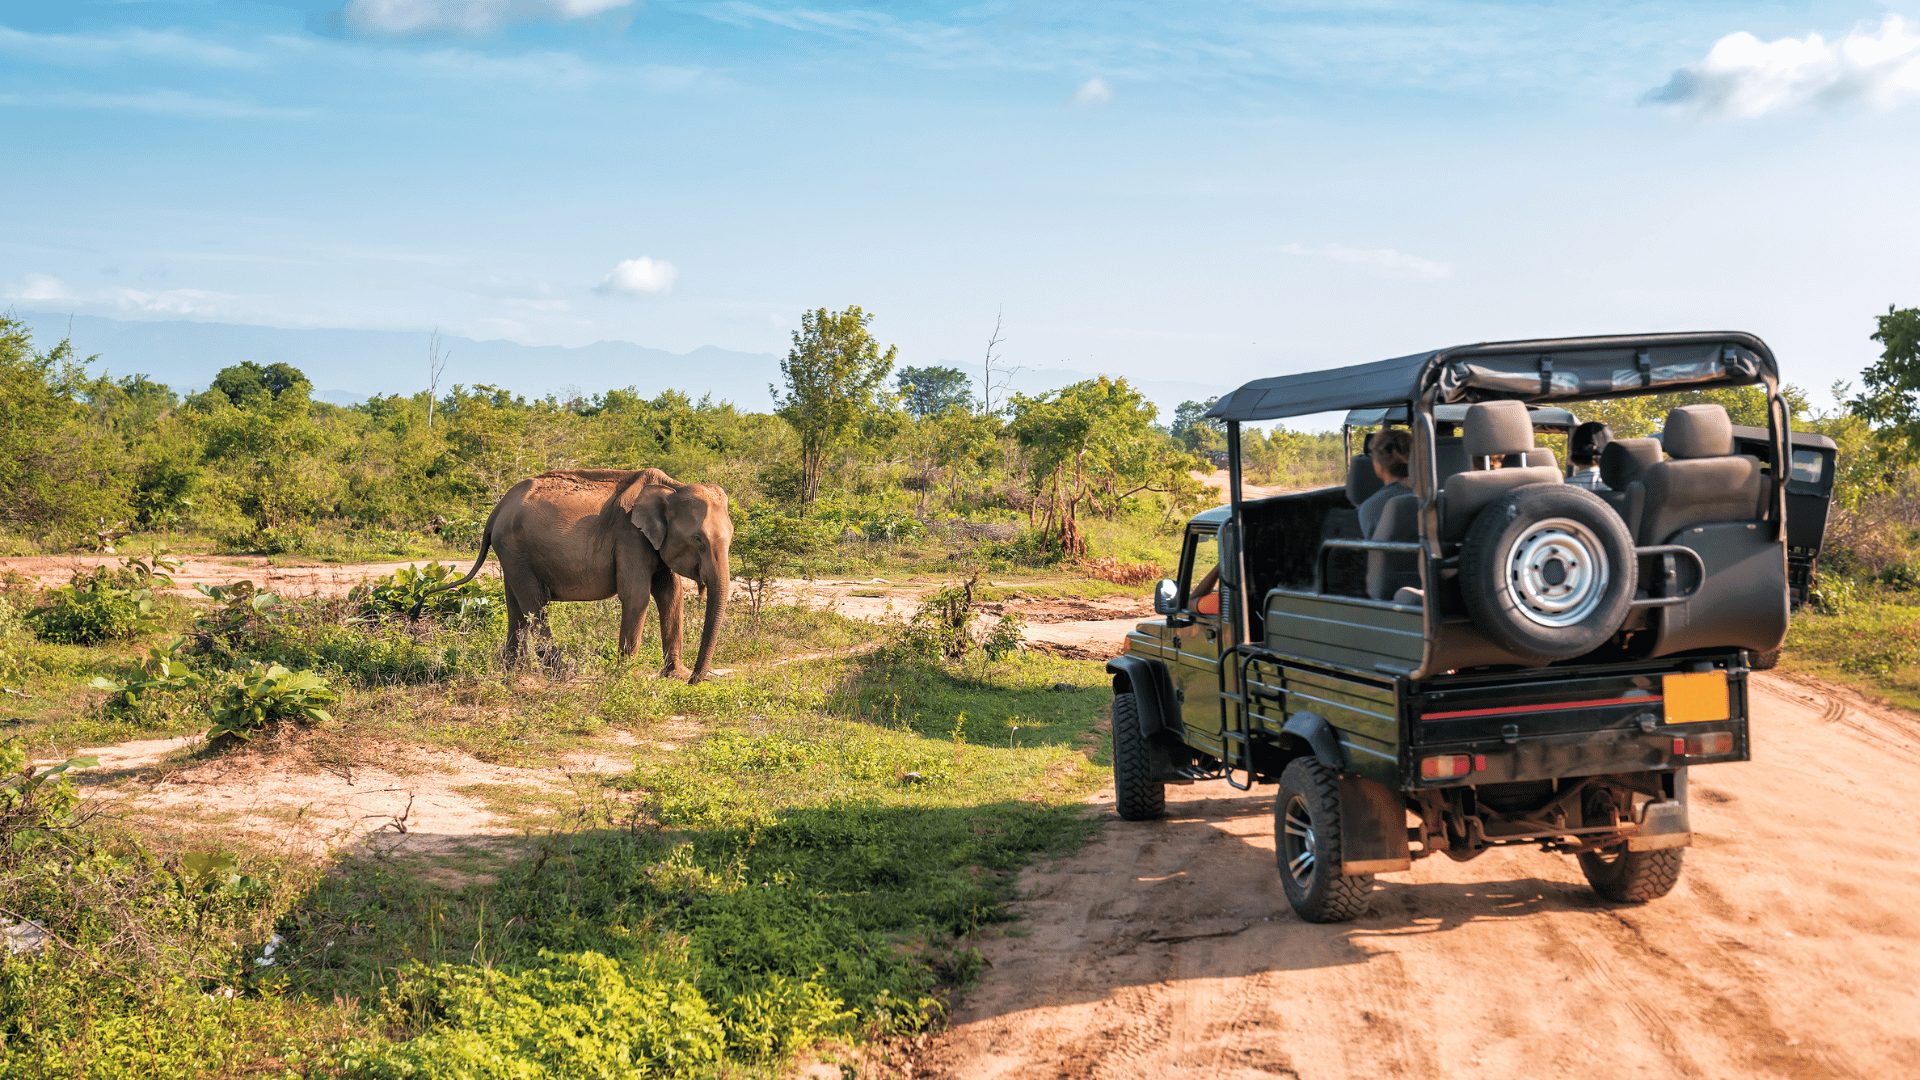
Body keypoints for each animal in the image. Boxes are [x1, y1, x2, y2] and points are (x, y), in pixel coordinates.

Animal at [424, 465, 729, 680]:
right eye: (698, 540)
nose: (696, 679)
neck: (672, 487)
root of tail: (496, 510)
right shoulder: (629, 536)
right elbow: (637, 596)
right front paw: (626, 675)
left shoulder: (652, 543)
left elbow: (670, 594)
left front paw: (674, 674)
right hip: (515, 550)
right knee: (535, 604)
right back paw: (562, 672)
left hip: (511, 554)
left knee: (516, 607)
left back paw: (514, 672)